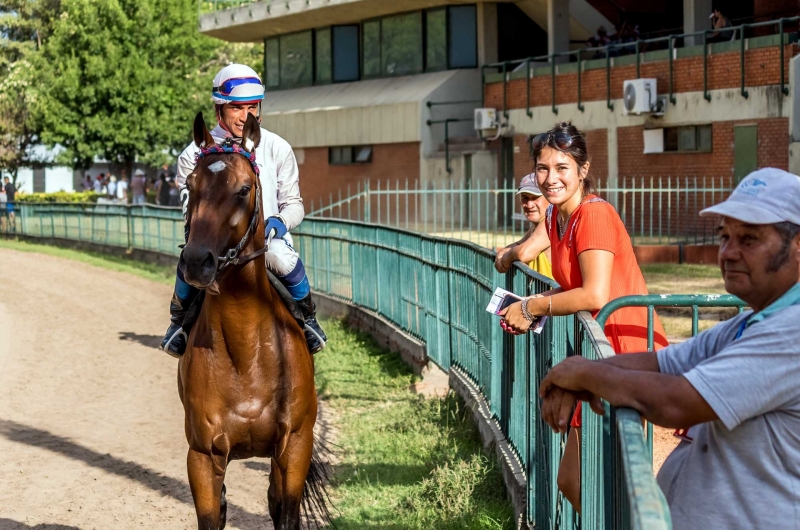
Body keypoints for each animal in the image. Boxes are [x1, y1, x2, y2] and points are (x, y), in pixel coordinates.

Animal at [177, 112, 328, 528]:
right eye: (190, 185)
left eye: (244, 189)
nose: (196, 262)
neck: (246, 351)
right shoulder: (203, 455)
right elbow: (212, 515)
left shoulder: (295, 446)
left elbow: (285, 511)